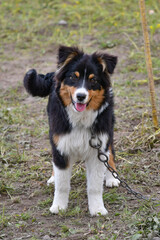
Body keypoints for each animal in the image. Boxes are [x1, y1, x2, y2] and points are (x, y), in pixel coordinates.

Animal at [23, 45, 119, 216]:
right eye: (73, 77)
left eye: (93, 80)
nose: (81, 96)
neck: (80, 120)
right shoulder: (61, 146)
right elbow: (62, 185)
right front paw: (59, 207)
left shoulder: (98, 146)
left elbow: (95, 186)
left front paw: (97, 209)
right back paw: (53, 177)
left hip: (108, 129)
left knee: (110, 153)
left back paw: (111, 177)